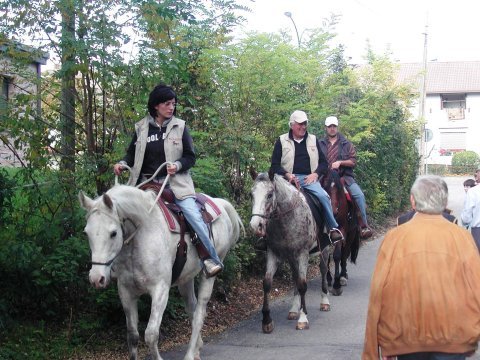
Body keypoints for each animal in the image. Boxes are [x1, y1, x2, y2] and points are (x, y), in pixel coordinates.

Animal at [80, 186, 244, 360]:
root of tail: (219, 204)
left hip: (209, 275)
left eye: (113, 233)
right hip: (186, 279)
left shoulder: (160, 290)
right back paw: (196, 349)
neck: (140, 237)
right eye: (86, 233)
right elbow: (132, 336)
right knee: (191, 309)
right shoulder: (126, 292)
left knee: (199, 315)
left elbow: (151, 335)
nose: (96, 278)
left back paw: (190, 354)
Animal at [249, 170, 332, 334]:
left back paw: (324, 302)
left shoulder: (302, 254)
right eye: (251, 194)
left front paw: (303, 318)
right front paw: (267, 321)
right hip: (292, 258)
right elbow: (267, 283)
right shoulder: (273, 253)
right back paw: (294, 309)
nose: (256, 226)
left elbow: (302, 284)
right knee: (295, 277)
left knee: (323, 270)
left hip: (323, 250)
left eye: (270, 194)